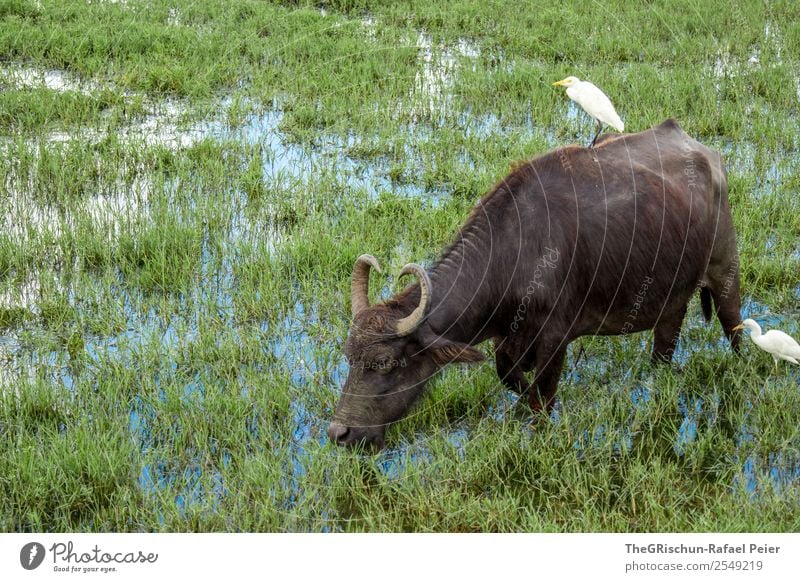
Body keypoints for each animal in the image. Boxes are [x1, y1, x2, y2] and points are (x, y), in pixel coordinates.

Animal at [326, 120, 744, 452]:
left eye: (384, 363)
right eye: (349, 358)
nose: (339, 433)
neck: (516, 251)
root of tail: (704, 152)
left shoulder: (556, 338)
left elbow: (543, 399)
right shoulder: (507, 337)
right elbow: (511, 378)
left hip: (725, 271)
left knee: (734, 329)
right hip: (671, 300)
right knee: (664, 348)